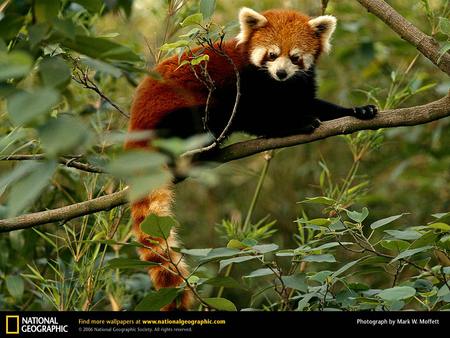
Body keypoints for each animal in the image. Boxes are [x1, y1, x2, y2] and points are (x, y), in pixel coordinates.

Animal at [125, 7, 376, 312]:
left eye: (295, 57)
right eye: (271, 54)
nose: (281, 72)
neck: (275, 84)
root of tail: (134, 128)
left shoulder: (297, 84)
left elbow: (314, 103)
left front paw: (358, 110)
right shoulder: (243, 83)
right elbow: (253, 114)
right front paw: (292, 125)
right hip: (177, 116)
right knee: (212, 114)